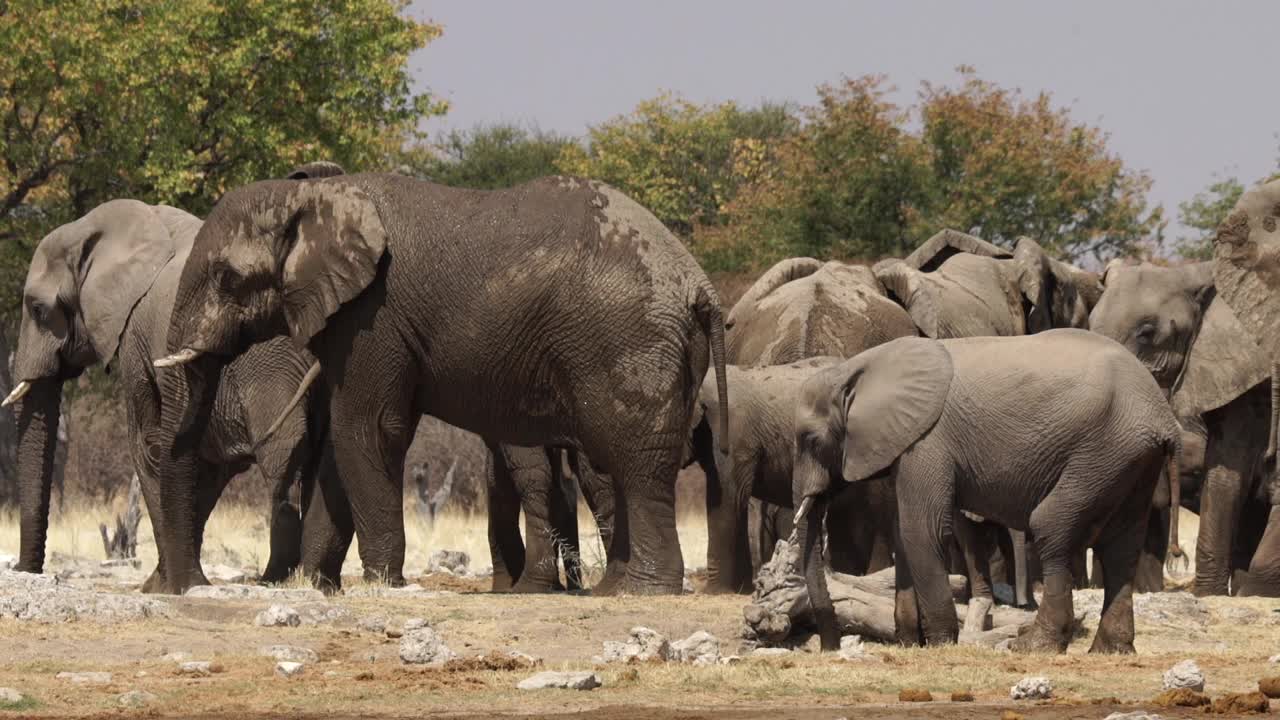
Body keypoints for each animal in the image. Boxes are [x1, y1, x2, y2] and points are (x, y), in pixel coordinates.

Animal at [3, 159, 345, 586]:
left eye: (37, 309)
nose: (27, 570)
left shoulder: (134, 337)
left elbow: (148, 447)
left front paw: (164, 585)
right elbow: (199, 468)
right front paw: (174, 580)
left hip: (272, 363)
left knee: (284, 456)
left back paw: (275, 578)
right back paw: (314, 580)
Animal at [152, 174, 732, 594]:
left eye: (227, 278)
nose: (186, 588)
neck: (308, 195)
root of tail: (698, 284)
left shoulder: (373, 316)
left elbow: (368, 430)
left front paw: (383, 583)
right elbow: (343, 446)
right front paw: (319, 587)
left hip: (626, 343)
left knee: (635, 463)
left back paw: (645, 592)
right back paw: (613, 590)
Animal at [798, 327, 1177, 653]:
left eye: (810, 440)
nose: (828, 649)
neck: (860, 367)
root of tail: (1164, 419)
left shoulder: (928, 441)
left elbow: (921, 530)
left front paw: (940, 643)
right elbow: (903, 532)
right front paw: (910, 642)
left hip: (1101, 452)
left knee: (1052, 526)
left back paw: (1033, 646)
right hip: (1131, 458)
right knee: (1122, 545)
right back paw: (1110, 650)